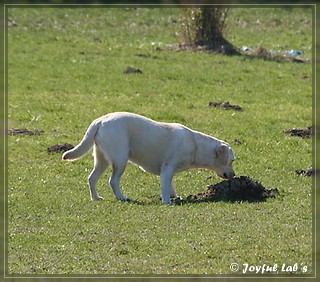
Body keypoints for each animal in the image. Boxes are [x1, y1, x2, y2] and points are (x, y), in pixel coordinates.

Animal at [62, 112, 235, 205]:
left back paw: (96, 198)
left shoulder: (168, 171)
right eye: (232, 160)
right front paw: (167, 201)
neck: (196, 145)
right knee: (113, 181)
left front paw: (175, 196)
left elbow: (171, 185)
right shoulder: (168, 167)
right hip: (120, 159)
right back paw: (122, 197)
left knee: (91, 178)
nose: (233, 175)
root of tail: (101, 120)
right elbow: (165, 188)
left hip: (102, 160)